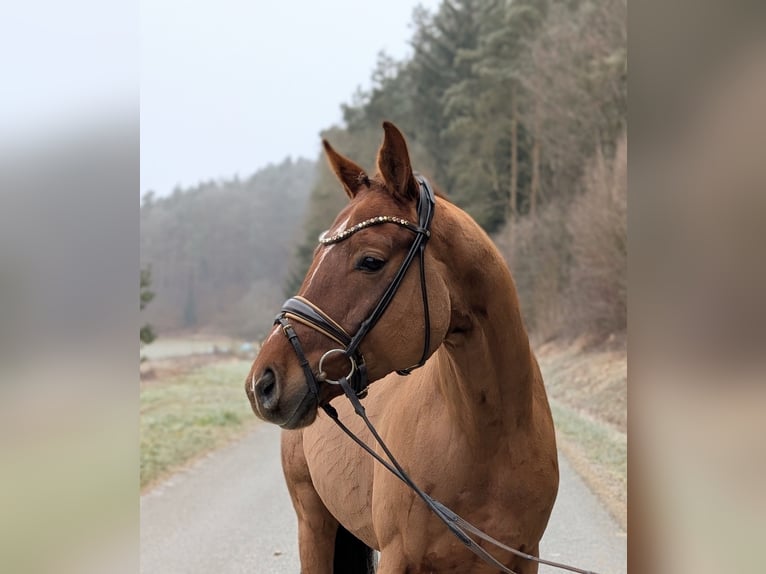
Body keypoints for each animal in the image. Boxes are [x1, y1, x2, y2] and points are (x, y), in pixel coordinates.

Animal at [246, 124, 560, 572]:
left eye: (371, 261)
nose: (263, 382)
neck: (490, 437)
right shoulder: (398, 558)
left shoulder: (523, 559)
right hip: (313, 524)